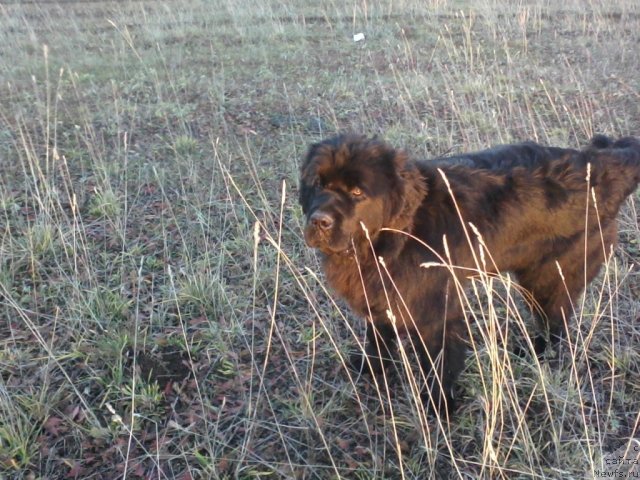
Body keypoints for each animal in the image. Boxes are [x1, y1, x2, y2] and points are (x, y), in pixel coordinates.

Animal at [298, 135, 640, 412]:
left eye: (357, 192)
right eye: (318, 183)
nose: (320, 221)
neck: (395, 234)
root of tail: (604, 164)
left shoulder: (436, 314)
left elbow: (440, 364)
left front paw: (439, 407)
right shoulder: (381, 295)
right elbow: (377, 338)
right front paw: (372, 369)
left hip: (547, 278)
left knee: (555, 323)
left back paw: (536, 353)